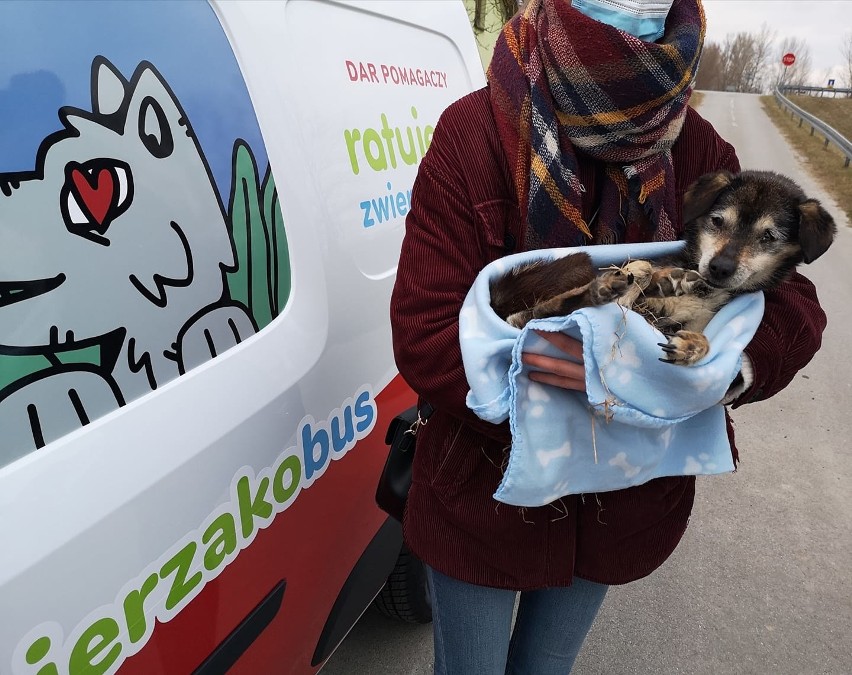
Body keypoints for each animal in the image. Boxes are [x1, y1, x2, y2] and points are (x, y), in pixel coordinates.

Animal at [490, 172, 836, 368]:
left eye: (768, 237)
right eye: (718, 220)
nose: (719, 268)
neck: (704, 291)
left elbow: (702, 339)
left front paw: (693, 346)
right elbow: (642, 271)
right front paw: (657, 280)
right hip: (578, 264)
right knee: (530, 316)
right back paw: (603, 288)